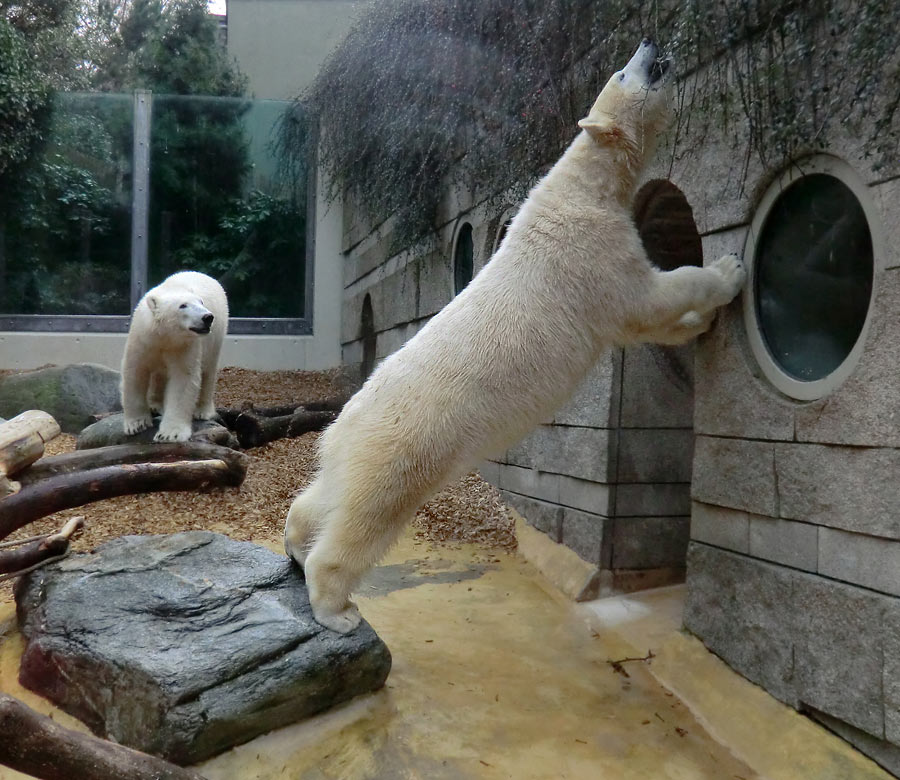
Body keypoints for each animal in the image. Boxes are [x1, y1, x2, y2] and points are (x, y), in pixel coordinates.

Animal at [120, 272, 229, 444]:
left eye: (201, 302)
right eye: (182, 305)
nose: (208, 317)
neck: (165, 336)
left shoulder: (185, 346)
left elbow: (183, 379)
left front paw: (170, 434)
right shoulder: (142, 340)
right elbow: (135, 372)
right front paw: (137, 424)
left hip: (215, 338)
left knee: (208, 371)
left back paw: (202, 411)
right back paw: (155, 404)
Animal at [286, 38, 744, 632]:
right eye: (624, 73)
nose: (647, 45)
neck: (584, 184)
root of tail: (344, 421)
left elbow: (643, 324)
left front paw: (699, 325)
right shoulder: (591, 254)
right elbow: (652, 296)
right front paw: (728, 273)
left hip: (353, 449)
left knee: (326, 497)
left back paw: (295, 541)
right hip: (404, 445)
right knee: (368, 515)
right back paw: (334, 606)